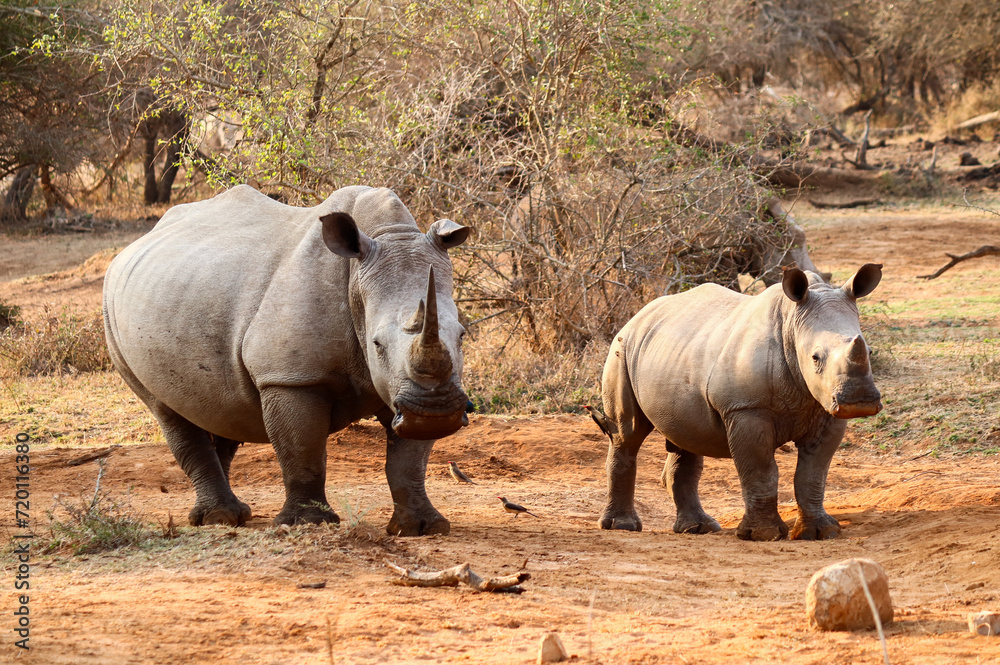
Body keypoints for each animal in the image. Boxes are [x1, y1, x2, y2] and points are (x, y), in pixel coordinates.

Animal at [103, 185, 471, 536]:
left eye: (462, 335)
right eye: (377, 344)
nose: (435, 411)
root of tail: (132, 246)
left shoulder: (402, 391)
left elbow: (408, 462)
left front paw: (422, 528)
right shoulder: (290, 377)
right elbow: (303, 451)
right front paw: (308, 523)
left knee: (221, 408)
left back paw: (230, 516)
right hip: (111, 314)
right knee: (166, 410)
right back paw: (218, 519)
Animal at [597, 264, 883, 541]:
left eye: (869, 352)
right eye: (815, 357)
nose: (859, 401)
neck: (791, 325)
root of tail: (639, 315)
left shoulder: (826, 412)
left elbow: (812, 475)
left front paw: (822, 532)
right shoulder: (746, 408)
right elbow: (761, 471)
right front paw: (763, 535)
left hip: (675, 352)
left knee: (685, 435)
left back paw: (698, 528)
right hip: (623, 348)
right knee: (627, 434)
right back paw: (622, 526)